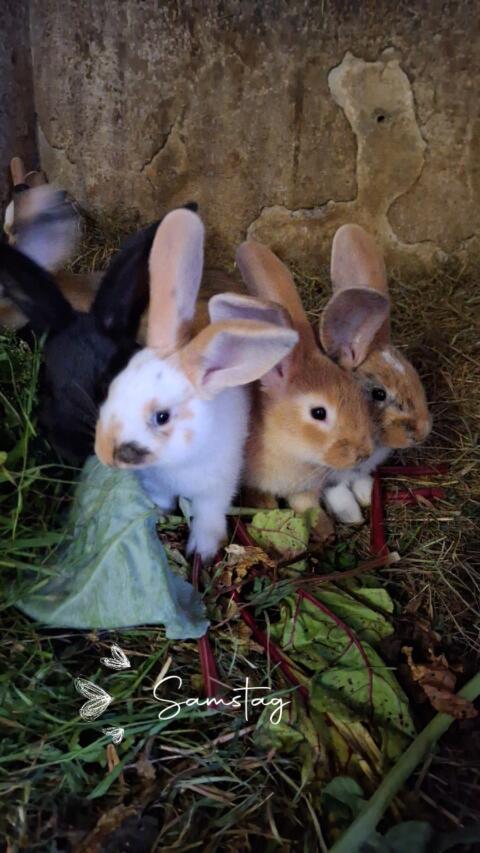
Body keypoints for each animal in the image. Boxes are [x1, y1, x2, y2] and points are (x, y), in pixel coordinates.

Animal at [94, 209, 298, 561]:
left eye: (162, 417)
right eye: (111, 388)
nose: (105, 454)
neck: (176, 464)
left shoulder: (216, 489)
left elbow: (209, 515)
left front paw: (202, 551)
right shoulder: (158, 485)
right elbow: (162, 500)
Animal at [209, 240, 389, 514]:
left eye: (360, 395)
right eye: (319, 413)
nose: (363, 453)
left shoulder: (306, 490)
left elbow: (307, 508)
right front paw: (267, 507)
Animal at [319, 224, 432, 523]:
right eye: (379, 394)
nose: (422, 432)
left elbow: (361, 481)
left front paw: (368, 498)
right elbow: (337, 492)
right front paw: (352, 516)